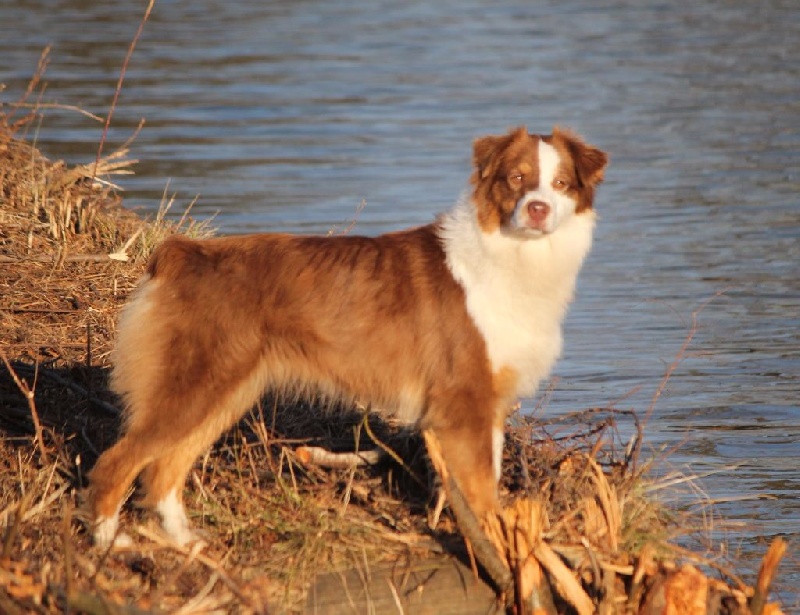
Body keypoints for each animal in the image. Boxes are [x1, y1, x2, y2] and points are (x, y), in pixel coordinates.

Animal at [87, 125, 608, 548]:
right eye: (516, 179)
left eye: (560, 184)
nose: (538, 210)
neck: (512, 255)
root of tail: (181, 254)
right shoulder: (463, 405)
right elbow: (481, 494)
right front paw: (498, 551)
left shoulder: (489, 404)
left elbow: (489, 481)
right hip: (192, 386)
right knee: (116, 463)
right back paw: (111, 546)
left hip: (224, 391)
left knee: (162, 471)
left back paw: (186, 544)